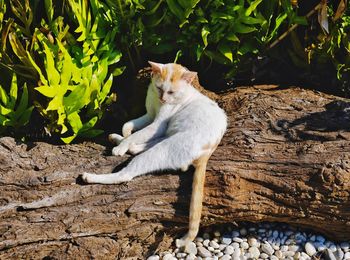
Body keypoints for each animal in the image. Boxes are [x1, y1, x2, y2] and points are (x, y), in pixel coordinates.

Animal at [81, 61, 228, 250]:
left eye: (171, 92)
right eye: (159, 88)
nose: (163, 99)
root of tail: (206, 155)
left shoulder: (157, 124)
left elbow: (137, 134)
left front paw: (121, 147)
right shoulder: (149, 116)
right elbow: (128, 125)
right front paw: (124, 136)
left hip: (164, 147)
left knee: (125, 174)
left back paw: (93, 174)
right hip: (166, 135)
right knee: (141, 146)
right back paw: (118, 140)